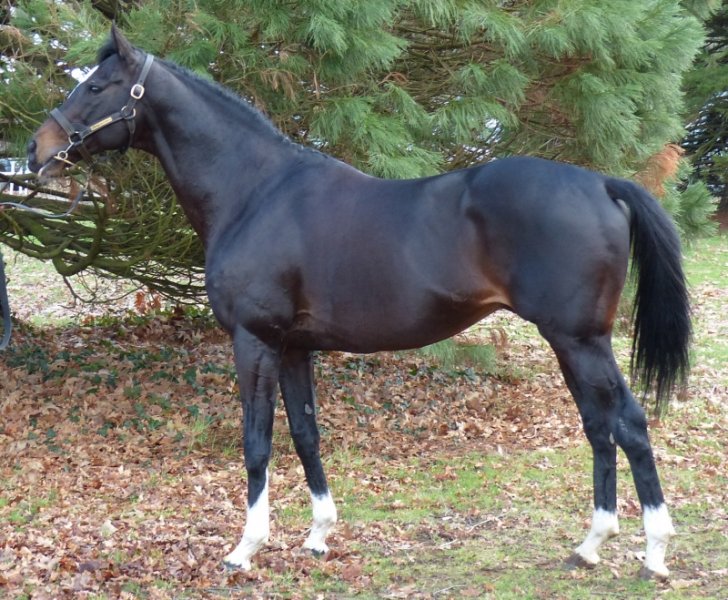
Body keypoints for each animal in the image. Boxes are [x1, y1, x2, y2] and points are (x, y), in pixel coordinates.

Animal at [28, 26, 690, 579]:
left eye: (96, 86)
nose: (37, 149)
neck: (254, 192)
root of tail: (600, 182)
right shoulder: (294, 348)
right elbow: (305, 434)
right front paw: (318, 536)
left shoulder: (254, 341)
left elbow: (257, 441)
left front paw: (245, 549)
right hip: (570, 343)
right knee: (598, 427)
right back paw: (589, 546)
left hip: (580, 341)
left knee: (629, 424)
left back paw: (655, 554)